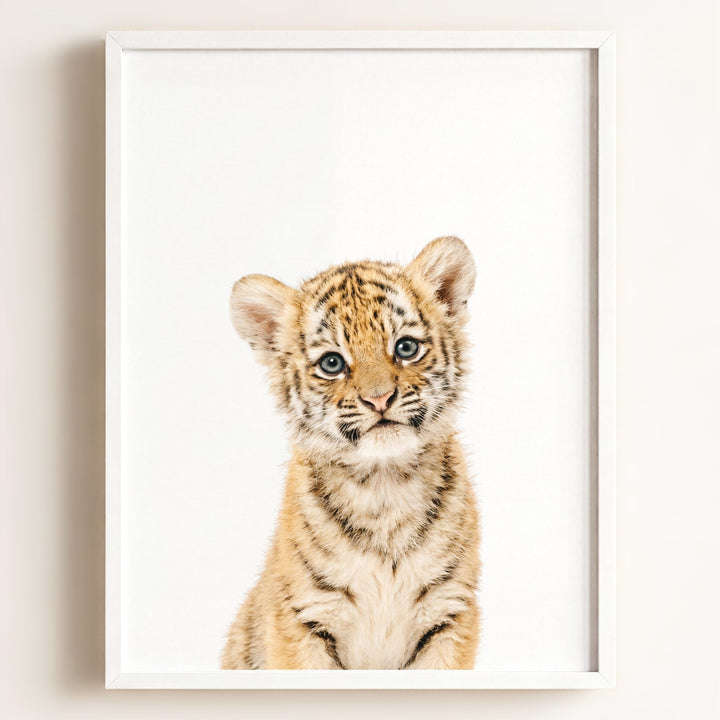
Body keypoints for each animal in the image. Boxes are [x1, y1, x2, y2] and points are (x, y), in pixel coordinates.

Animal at [221, 236, 480, 670]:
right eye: (332, 363)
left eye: (405, 347)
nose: (379, 399)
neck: (384, 485)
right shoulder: (303, 618)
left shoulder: (449, 613)